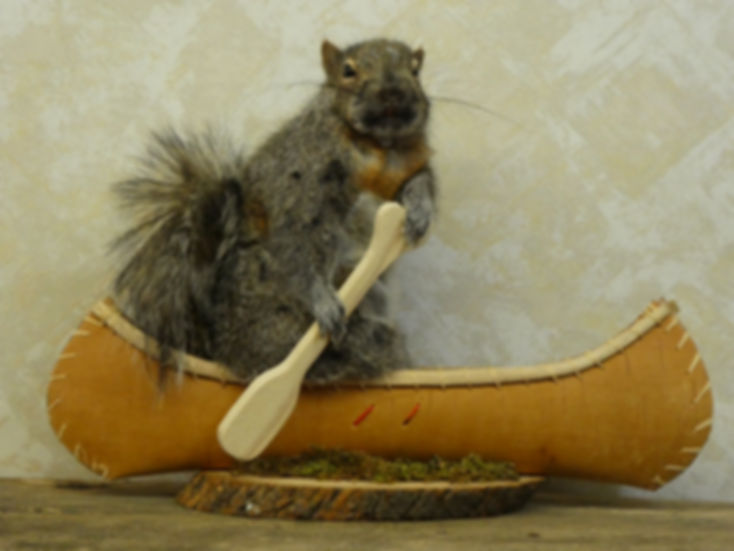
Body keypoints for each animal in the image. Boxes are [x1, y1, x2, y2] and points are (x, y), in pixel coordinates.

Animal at [112, 38, 436, 383]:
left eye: (415, 71)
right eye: (348, 71)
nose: (392, 93)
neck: (379, 148)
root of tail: (226, 353)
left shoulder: (407, 171)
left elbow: (421, 183)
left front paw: (419, 212)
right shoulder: (299, 184)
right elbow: (299, 241)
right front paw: (323, 302)